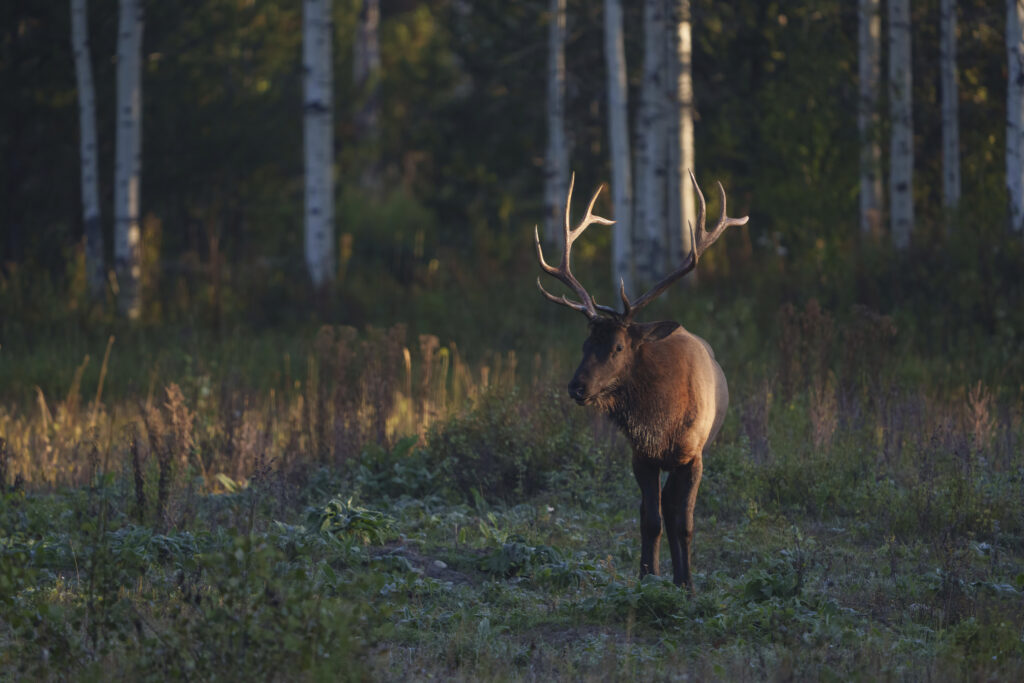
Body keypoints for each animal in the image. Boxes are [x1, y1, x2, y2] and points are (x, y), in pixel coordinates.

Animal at [534, 171, 748, 592]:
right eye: (585, 343)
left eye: (617, 347)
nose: (576, 387)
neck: (661, 422)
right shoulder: (641, 456)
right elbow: (650, 520)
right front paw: (648, 576)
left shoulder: (694, 454)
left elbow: (685, 524)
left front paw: (688, 585)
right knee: (658, 508)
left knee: (674, 509)